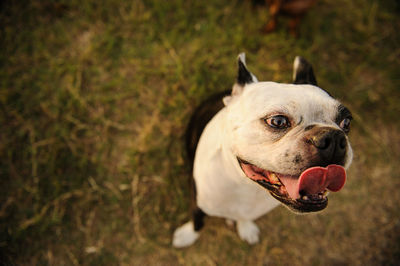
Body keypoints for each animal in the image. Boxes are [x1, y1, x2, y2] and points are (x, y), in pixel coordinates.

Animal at [173, 53, 354, 247]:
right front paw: (187, 235)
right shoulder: (197, 203)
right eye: (278, 121)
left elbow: (244, 217)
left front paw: (245, 227)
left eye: (347, 122)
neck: (245, 184)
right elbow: (197, 222)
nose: (333, 138)